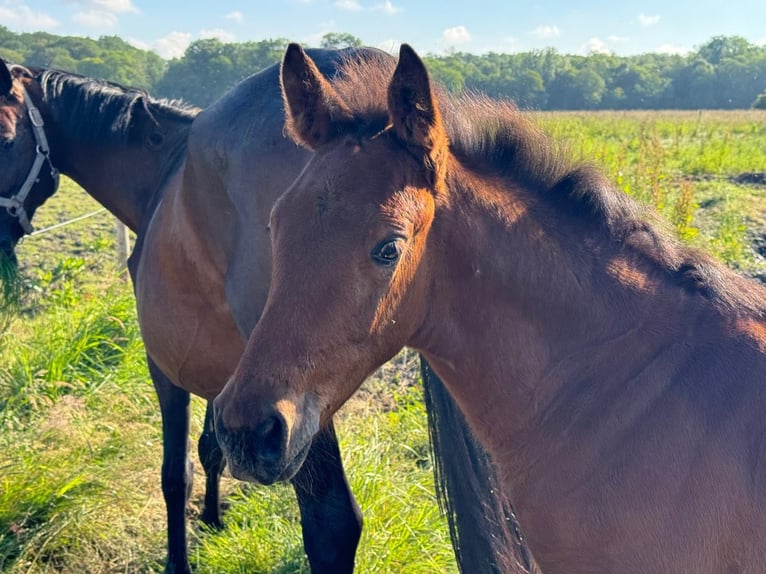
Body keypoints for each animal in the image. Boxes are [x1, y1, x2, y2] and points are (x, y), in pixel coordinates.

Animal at [0, 56, 528, 572]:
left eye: (5, 138)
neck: (163, 173)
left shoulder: (166, 367)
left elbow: (175, 474)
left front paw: (179, 559)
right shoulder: (228, 380)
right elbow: (210, 449)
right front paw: (213, 522)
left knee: (331, 523)